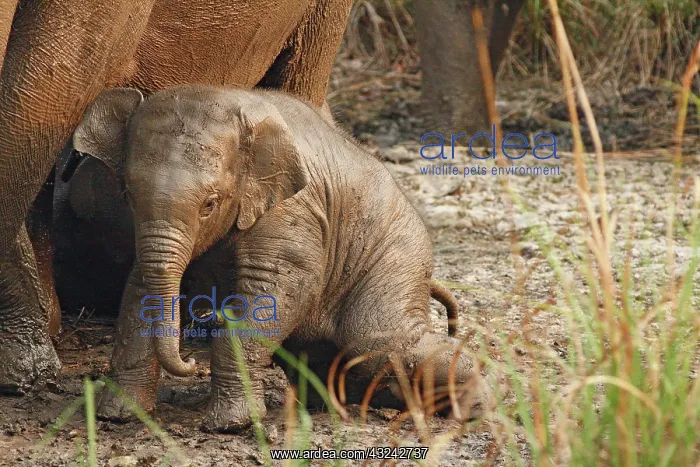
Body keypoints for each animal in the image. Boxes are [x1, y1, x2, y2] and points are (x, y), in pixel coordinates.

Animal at [68, 85, 485, 432]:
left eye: (209, 204)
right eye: (127, 193)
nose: (189, 363)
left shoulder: (292, 210)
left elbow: (279, 287)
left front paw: (230, 425)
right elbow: (138, 290)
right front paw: (118, 416)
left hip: (398, 257)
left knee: (375, 341)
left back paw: (471, 405)